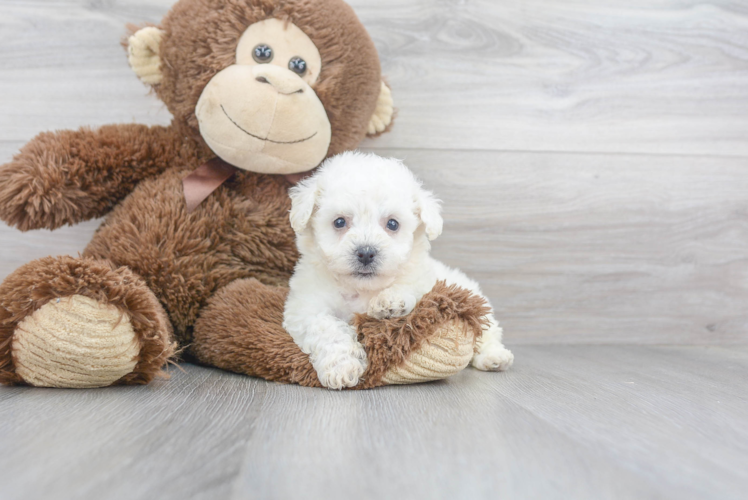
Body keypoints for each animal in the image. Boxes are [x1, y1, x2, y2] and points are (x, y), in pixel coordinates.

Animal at [282, 152, 516, 390]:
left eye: (393, 224)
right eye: (339, 222)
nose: (366, 253)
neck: (362, 289)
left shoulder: (425, 281)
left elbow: (410, 286)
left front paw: (389, 302)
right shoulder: (306, 305)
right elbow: (326, 327)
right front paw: (342, 367)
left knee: (487, 332)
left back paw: (494, 357)